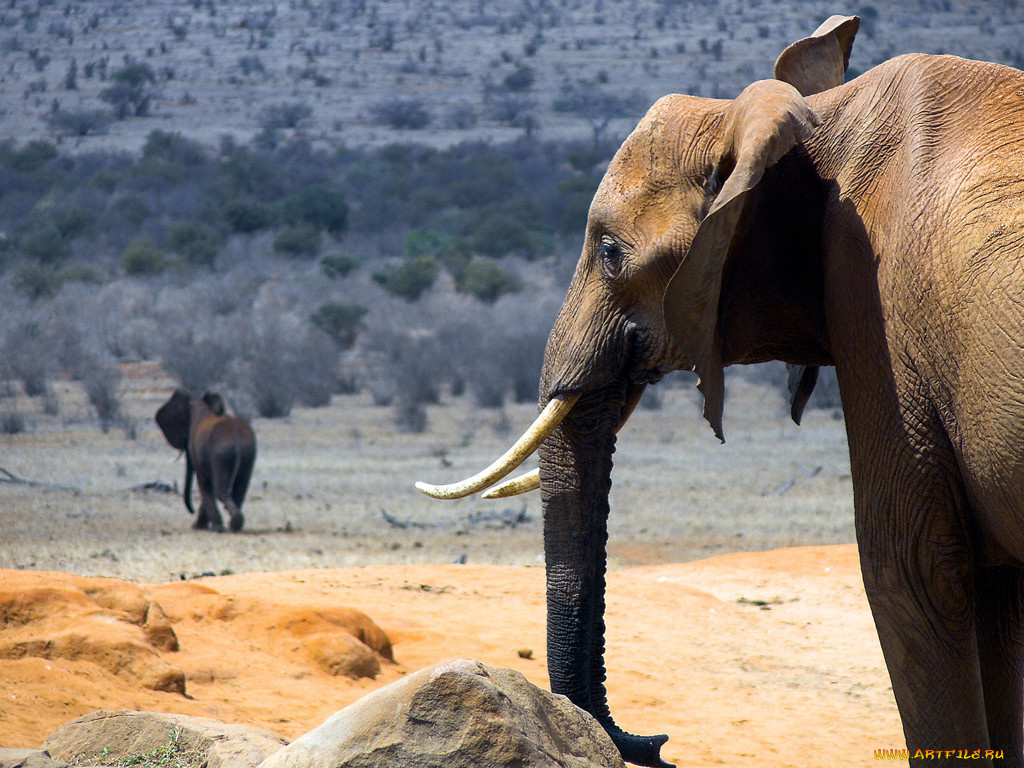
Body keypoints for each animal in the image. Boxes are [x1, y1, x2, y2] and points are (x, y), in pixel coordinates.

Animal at [158, 391, 260, 536]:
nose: (192, 510)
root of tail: (237, 437)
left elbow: (204, 484)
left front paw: (203, 527)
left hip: (221, 453)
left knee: (220, 490)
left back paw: (227, 525)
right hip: (248, 454)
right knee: (239, 489)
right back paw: (235, 524)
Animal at [415, 13, 1024, 768]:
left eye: (610, 253)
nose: (659, 742)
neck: (816, 126)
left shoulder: (878, 313)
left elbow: (910, 570)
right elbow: (995, 595)